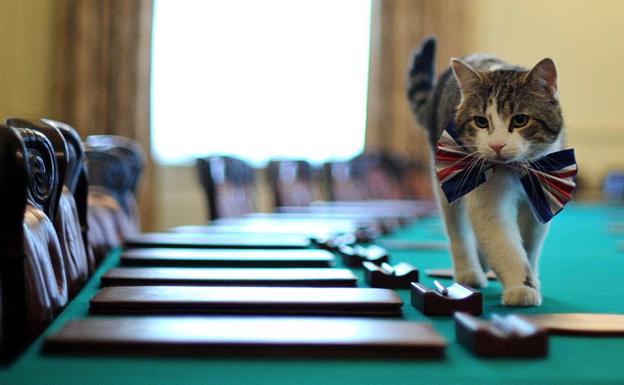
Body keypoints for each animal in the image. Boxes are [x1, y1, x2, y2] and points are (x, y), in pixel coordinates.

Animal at [408, 37, 564, 304]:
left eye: (520, 120)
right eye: (481, 121)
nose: (497, 145)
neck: (514, 172)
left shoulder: (540, 192)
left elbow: (530, 245)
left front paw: (531, 279)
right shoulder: (487, 199)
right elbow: (504, 243)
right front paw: (520, 286)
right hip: (448, 178)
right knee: (458, 231)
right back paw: (469, 272)